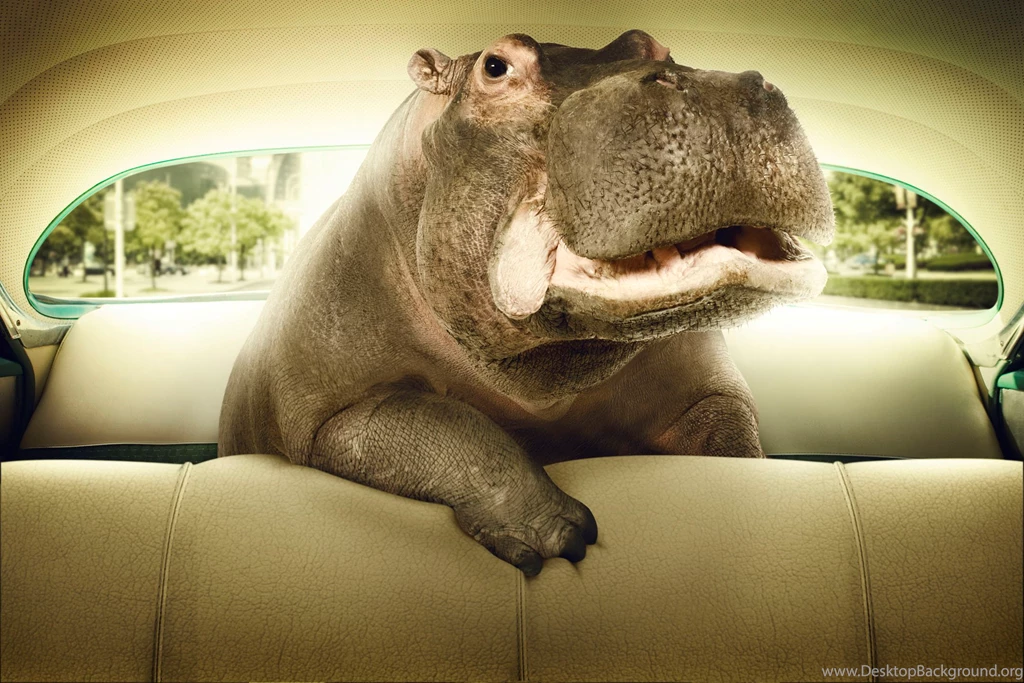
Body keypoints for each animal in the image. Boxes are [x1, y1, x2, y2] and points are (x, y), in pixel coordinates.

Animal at [219, 30, 834, 576]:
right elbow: (443, 423)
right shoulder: (326, 412)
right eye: (496, 67)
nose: (725, 89)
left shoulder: (704, 391)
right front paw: (557, 536)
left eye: (657, 46)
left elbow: (728, 435)